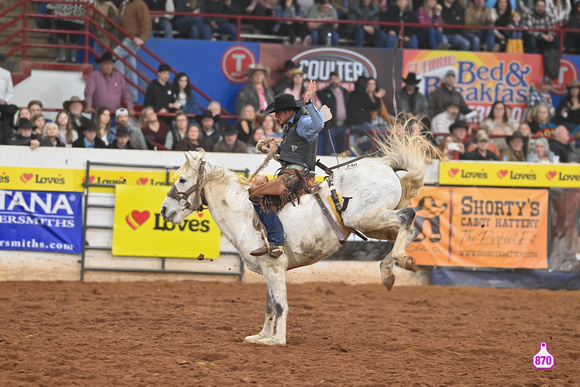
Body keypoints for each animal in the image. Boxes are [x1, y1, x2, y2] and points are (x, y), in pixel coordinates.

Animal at [159, 133, 430, 346]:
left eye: (182, 179)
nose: (163, 210)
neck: (242, 212)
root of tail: (385, 165)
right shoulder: (270, 270)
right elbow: (270, 305)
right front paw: (261, 336)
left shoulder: (273, 266)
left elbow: (280, 305)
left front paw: (277, 341)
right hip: (372, 225)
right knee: (409, 230)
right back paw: (394, 267)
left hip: (366, 218)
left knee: (408, 216)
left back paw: (394, 265)